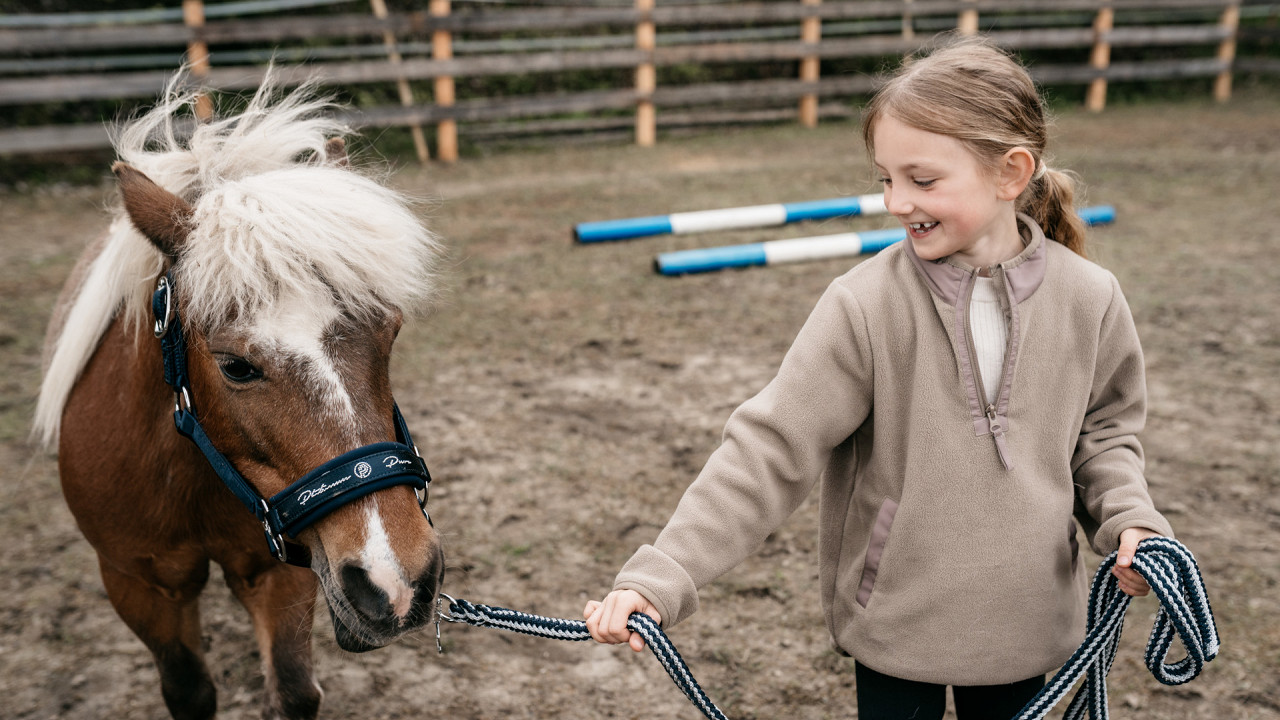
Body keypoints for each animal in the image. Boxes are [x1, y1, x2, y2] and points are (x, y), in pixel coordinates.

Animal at [33, 77, 446, 720]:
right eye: (235, 366)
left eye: (392, 332)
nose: (397, 584)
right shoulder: (139, 584)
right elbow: (190, 691)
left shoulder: (284, 570)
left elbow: (294, 690)